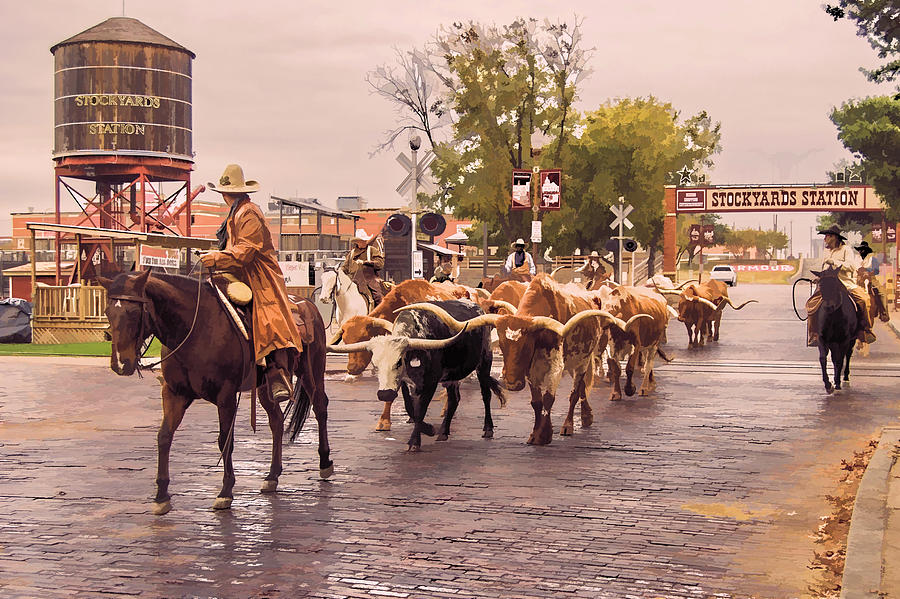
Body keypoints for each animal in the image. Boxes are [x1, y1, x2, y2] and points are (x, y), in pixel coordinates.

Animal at [99, 272, 330, 516]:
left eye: (134, 312)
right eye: (108, 312)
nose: (120, 364)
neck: (195, 330)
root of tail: (307, 304)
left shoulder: (225, 396)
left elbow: (224, 440)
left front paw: (225, 492)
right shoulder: (174, 394)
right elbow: (164, 437)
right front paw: (161, 496)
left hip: (312, 372)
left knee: (320, 407)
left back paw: (325, 463)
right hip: (265, 387)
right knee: (276, 421)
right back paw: (272, 476)